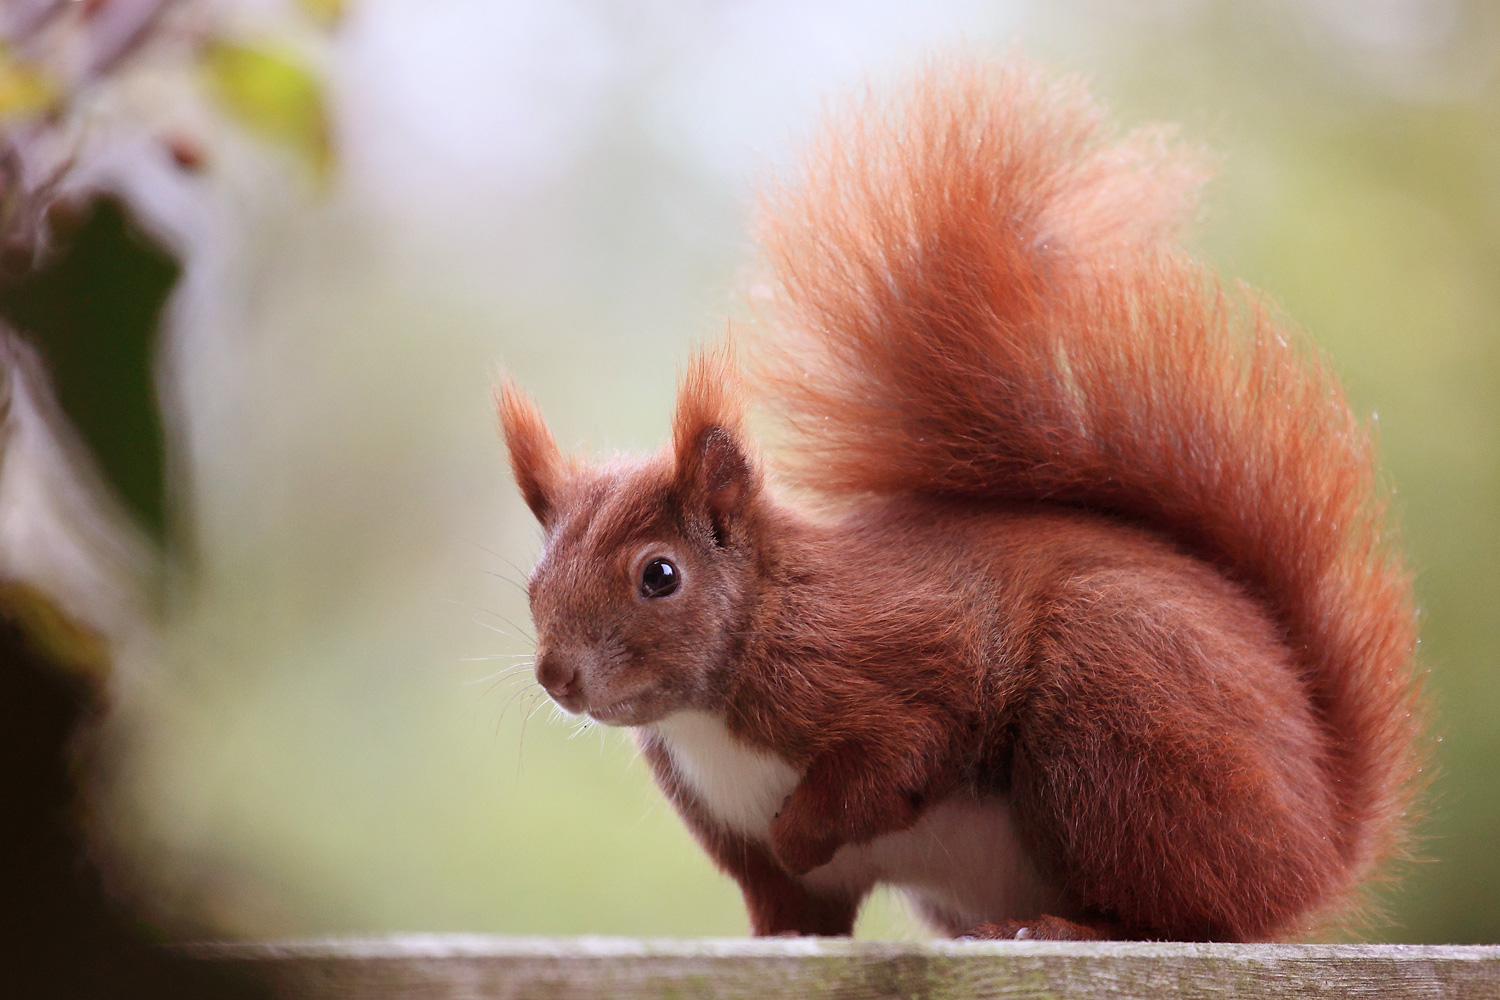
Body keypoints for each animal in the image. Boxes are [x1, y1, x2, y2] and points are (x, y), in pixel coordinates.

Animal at [498, 60, 1422, 941]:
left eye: (659, 575)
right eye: (534, 585)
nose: (557, 676)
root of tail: (1320, 841)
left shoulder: (898, 663)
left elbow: (899, 759)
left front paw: (800, 829)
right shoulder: (751, 850)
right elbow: (792, 913)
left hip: (1118, 717)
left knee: (1188, 919)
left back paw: (1059, 930)